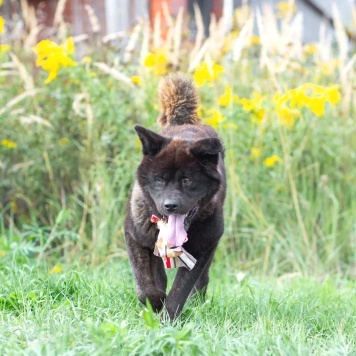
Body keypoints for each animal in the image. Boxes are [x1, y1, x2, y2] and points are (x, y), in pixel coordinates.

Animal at [124, 73, 225, 322]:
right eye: (160, 179)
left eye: (187, 180)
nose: (170, 205)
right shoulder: (135, 238)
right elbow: (147, 286)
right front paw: (155, 304)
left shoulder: (202, 249)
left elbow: (180, 290)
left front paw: (168, 320)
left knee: (202, 280)